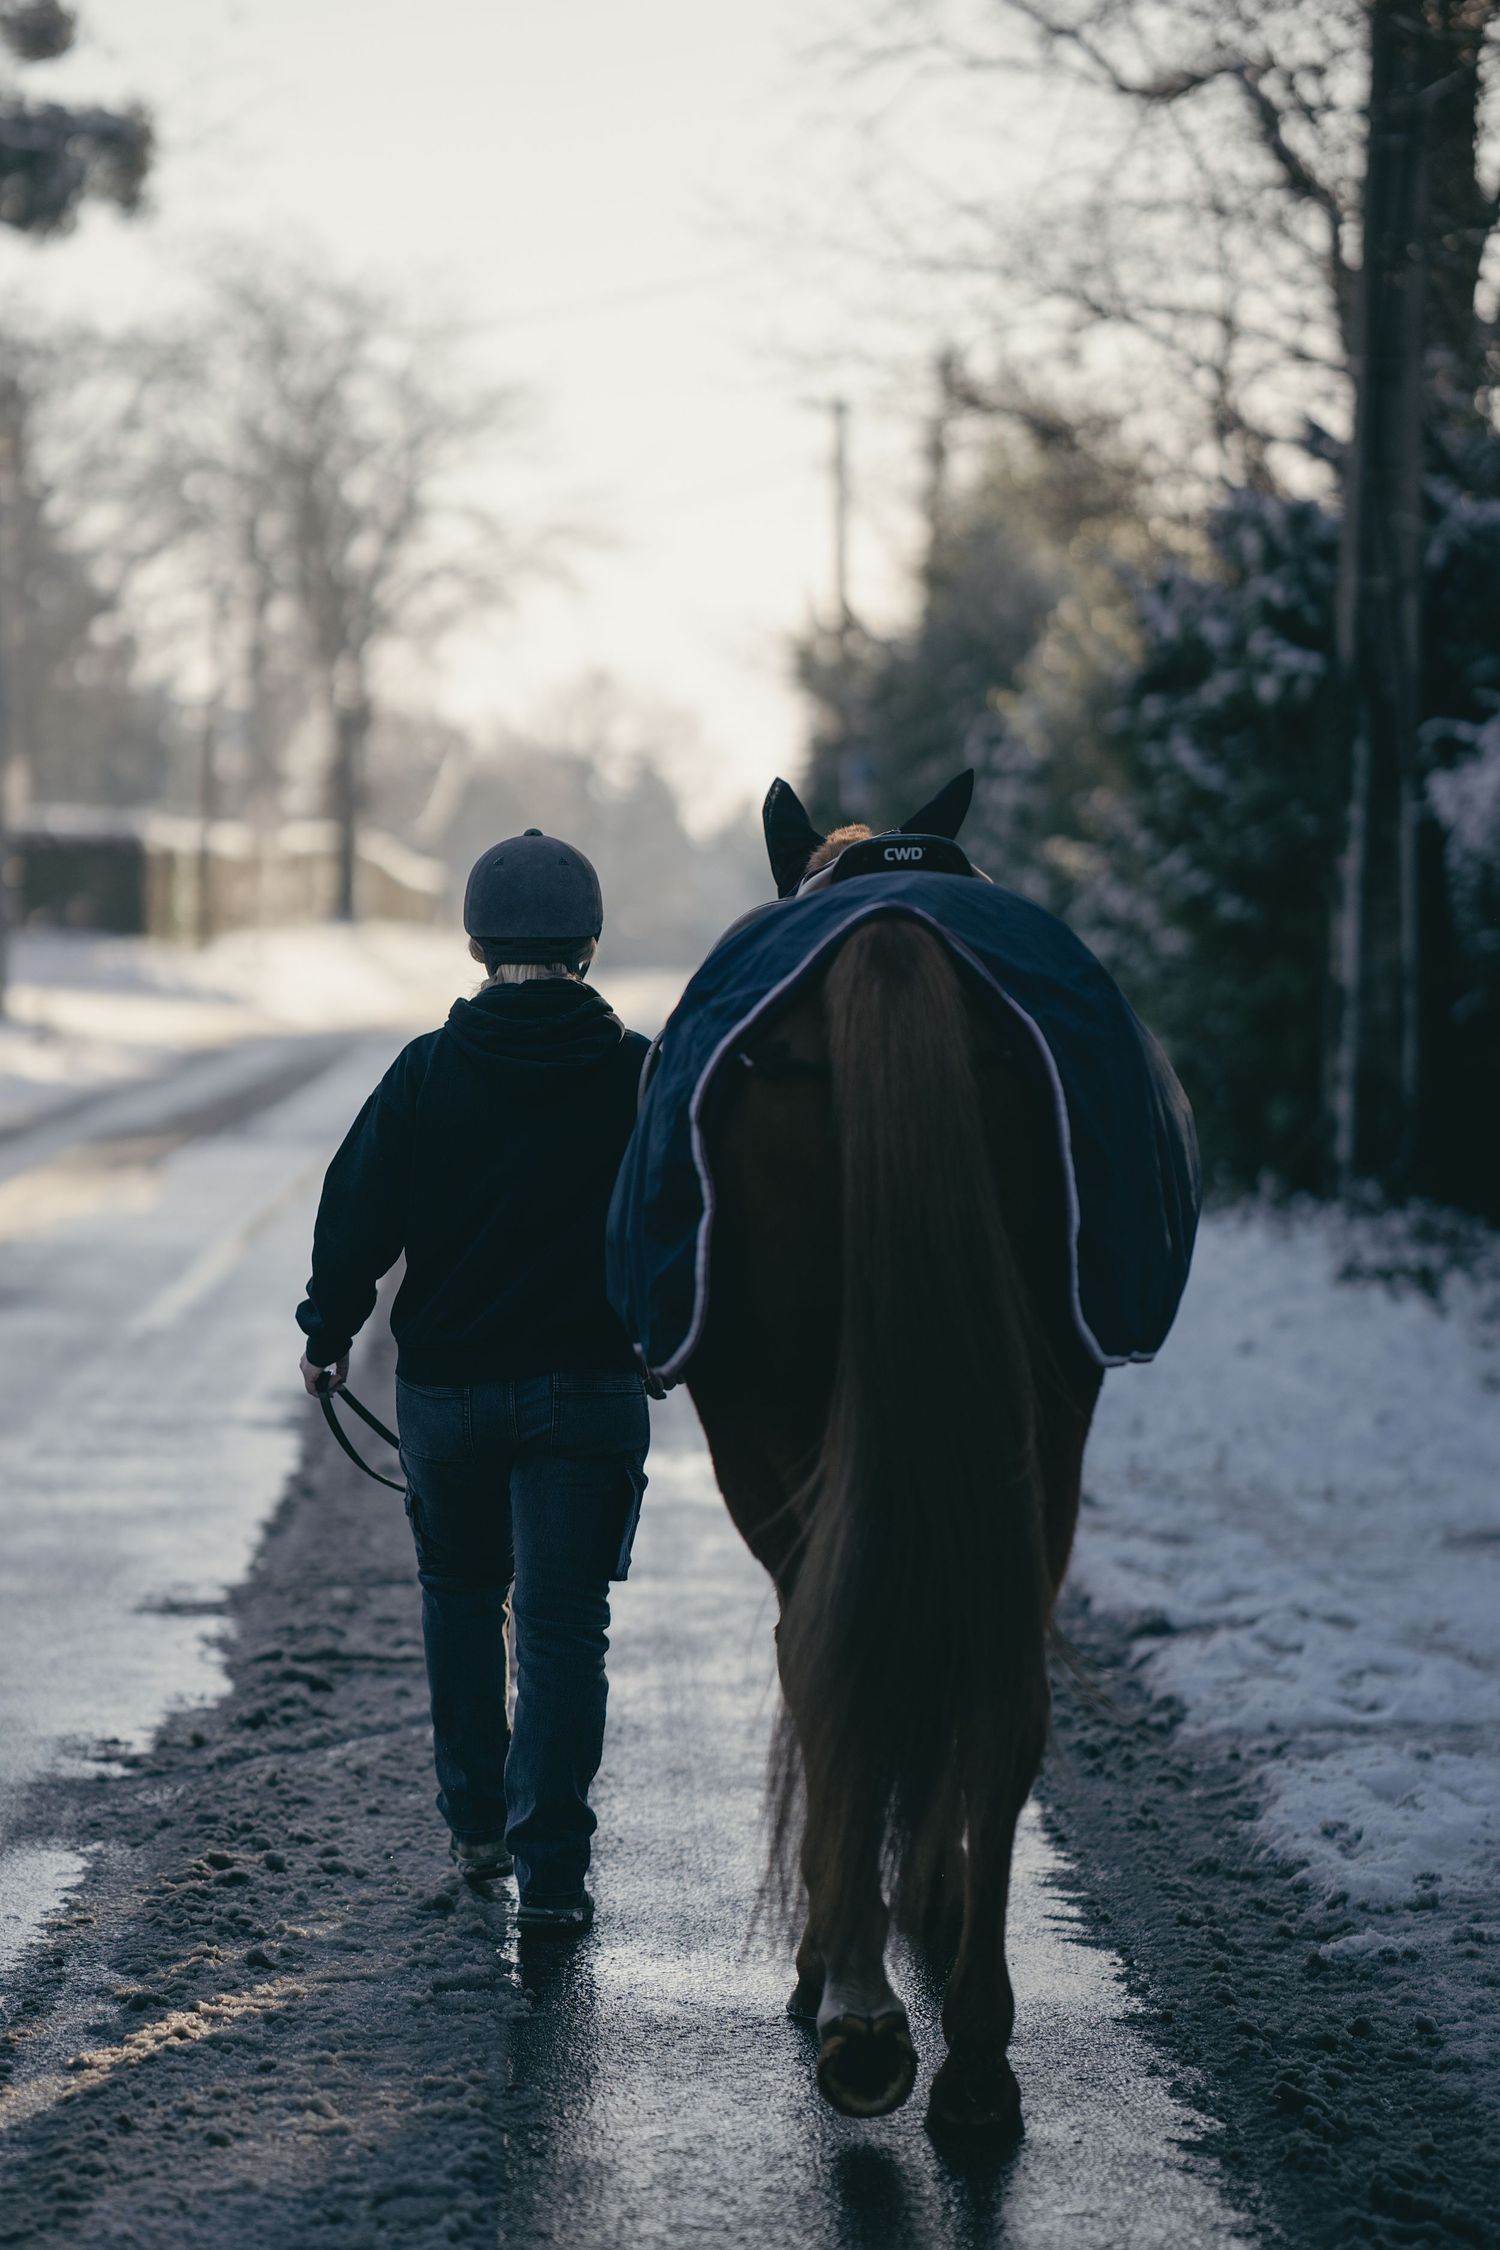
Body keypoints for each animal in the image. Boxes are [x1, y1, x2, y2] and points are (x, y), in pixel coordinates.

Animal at [683, 789, 1104, 2136]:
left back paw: (859, 2008)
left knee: (825, 1661)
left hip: (770, 1429)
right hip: (1047, 1426)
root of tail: (891, 943)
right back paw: (974, 2057)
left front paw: (842, 1954)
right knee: (1002, 1697)